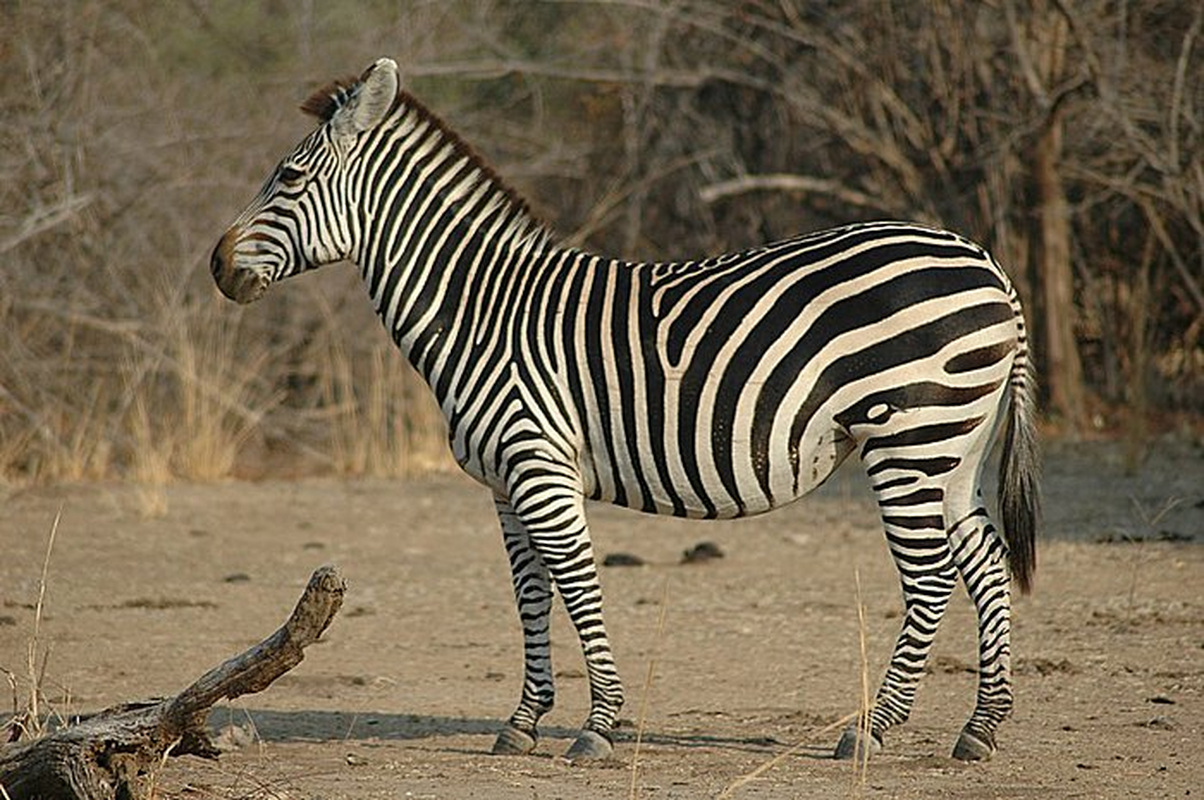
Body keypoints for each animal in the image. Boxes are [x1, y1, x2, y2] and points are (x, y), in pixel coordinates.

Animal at [211, 59, 1040, 766]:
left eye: (289, 176)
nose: (217, 266)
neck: (481, 313)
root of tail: (986, 260)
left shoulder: (540, 465)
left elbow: (578, 584)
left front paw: (599, 726)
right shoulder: (505, 484)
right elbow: (531, 594)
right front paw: (523, 722)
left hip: (909, 437)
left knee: (931, 577)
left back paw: (873, 729)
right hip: (956, 447)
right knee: (985, 562)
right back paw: (981, 729)